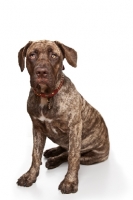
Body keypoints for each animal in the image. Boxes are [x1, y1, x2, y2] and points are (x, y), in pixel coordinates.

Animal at [16, 39, 109, 194]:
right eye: (32, 55)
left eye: (54, 55)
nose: (41, 71)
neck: (46, 97)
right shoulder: (37, 128)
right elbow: (35, 155)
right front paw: (30, 176)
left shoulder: (74, 128)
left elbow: (73, 157)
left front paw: (69, 182)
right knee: (64, 148)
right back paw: (52, 152)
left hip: (91, 155)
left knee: (72, 154)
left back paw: (54, 160)